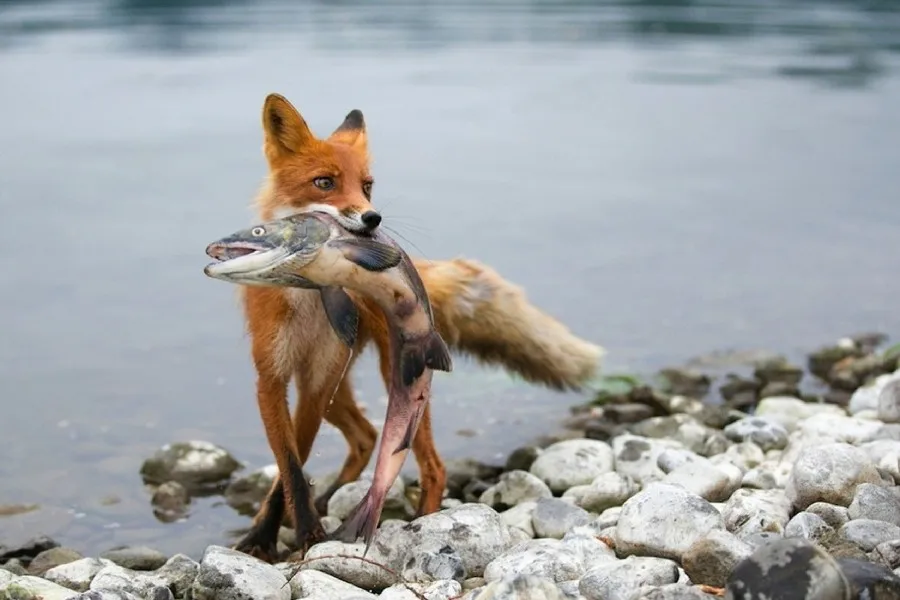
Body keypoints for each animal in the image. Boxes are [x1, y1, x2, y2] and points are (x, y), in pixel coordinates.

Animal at [230, 93, 606, 562]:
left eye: (367, 185)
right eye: (324, 182)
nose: (372, 219)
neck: (307, 299)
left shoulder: (314, 382)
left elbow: (288, 470)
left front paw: (304, 536)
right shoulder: (273, 378)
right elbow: (290, 465)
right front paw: (270, 535)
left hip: (394, 380)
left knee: (431, 466)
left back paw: (423, 524)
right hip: (339, 387)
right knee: (365, 436)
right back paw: (334, 499)